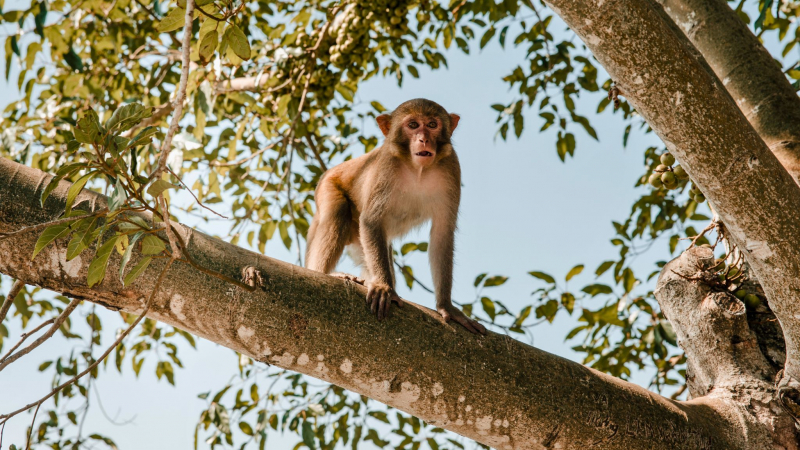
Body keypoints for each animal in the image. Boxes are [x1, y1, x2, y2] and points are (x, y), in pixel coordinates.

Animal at [303, 98, 486, 335]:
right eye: (413, 125)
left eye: (432, 124)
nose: (423, 139)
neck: (418, 170)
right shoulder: (386, 166)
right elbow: (371, 221)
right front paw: (383, 287)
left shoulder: (452, 167)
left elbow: (442, 234)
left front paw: (447, 307)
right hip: (327, 187)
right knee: (338, 213)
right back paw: (326, 273)